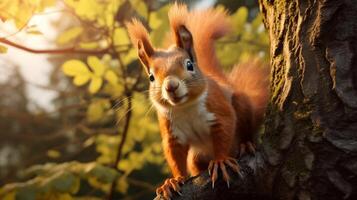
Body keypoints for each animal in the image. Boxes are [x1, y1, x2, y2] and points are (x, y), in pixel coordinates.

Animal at [126, 2, 268, 199]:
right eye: (151, 77)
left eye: (189, 65)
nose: (171, 86)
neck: (185, 107)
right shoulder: (172, 132)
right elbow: (175, 155)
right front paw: (174, 180)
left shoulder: (218, 110)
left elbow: (224, 131)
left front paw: (220, 161)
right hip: (196, 156)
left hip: (241, 105)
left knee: (247, 128)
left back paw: (246, 145)